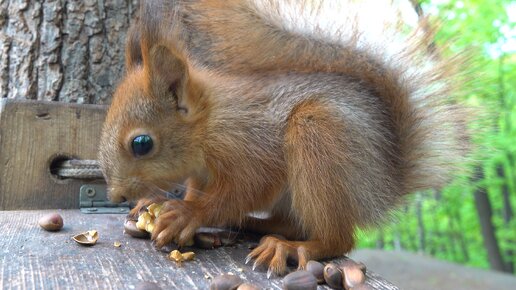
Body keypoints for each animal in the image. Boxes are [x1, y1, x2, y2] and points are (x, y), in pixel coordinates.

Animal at [98, 0, 468, 276]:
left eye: (142, 144)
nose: (116, 196)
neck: (211, 123)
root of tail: (387, 181)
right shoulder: (201, 173)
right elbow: (198, 188)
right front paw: (152, 204)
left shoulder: (250, 147)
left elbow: (243, 191)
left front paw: (188, 213)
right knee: (290, 223)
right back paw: (254, 226)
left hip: (319, 138)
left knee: (335, 239)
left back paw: (290, 247)